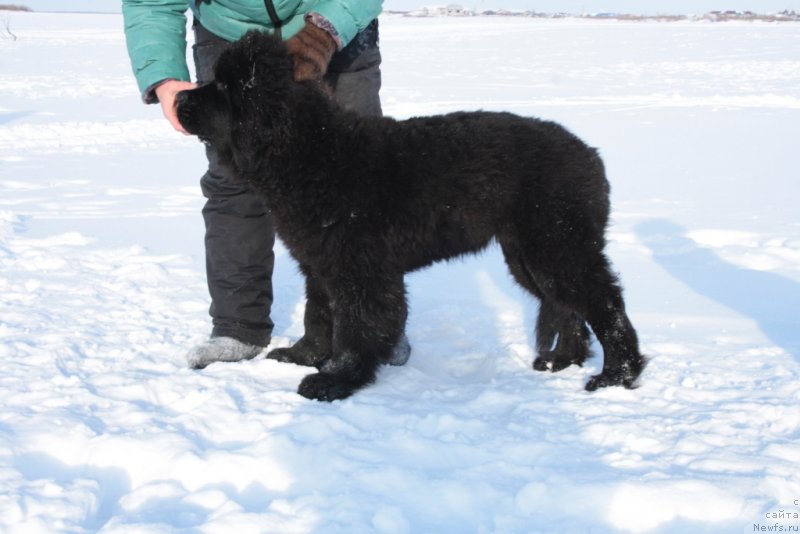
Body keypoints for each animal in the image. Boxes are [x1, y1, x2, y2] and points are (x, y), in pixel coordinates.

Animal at [175, 31, 644, 404]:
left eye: (225, 86)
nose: (178, 95)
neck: (311, 154)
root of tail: (590, 155)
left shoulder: (358, 269)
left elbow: (353, 326)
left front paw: (335, 380)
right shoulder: (320, 261)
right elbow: (320, 314)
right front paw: (303, 356)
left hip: (557, 245)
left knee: (606, 305)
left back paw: (616, 376)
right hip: (527, 255)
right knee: (567, 307)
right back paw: (562, 361)